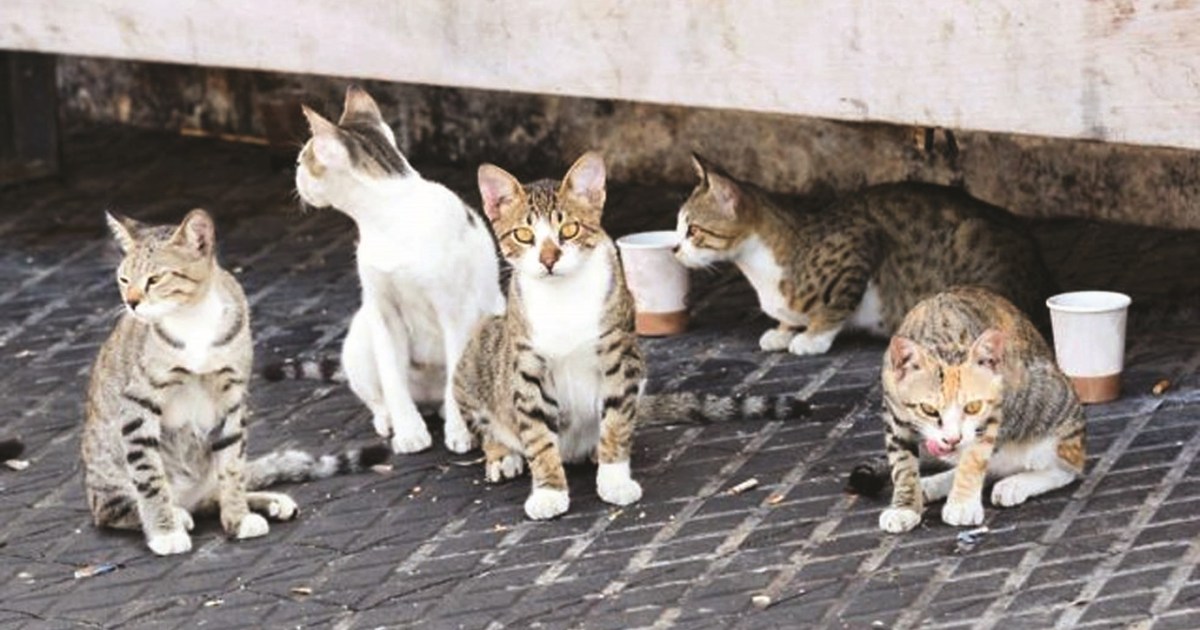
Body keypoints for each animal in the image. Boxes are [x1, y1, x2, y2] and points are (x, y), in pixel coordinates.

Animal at [82, 209, 387, 555]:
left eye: (155, 279)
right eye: (123, 280)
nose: (131, 302)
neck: (193, 321)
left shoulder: (231, 396)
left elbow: (231, 466)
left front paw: (238, 518)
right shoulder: (138, 403)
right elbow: (149, 477)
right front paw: (164, 531)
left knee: (214, 493)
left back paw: (266, 502)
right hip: (108, 475)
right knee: (116, 507)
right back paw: (176, 513)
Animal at [295, 85, 505, 454]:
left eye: (304, 159)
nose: (295, 172)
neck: (389, 216)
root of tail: (428, 397)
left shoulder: (455, 310)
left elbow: (456, 373)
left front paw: (458, 433)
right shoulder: (382, 310)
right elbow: (392, 378)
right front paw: (409, 432)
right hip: (360, 336)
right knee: (377, 395)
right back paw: (389, 418)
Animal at [674, 154, 1054, 356]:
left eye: (692, 230)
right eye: (677, 228)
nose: (675, 249)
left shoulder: (860, 243)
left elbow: (835, 305)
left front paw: (812, 338)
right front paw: (783, 330)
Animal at [872, 286, 1085, 533]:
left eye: (973, 407)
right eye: (929, 409)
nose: (952, 438)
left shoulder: (993, 410)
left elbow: (974, 457)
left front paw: (962, 504)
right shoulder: (893, 414)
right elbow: (902, 464)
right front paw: (904, 507)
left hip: (1048, 400)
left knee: (1067, 467)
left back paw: (1014, 484)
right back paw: (933, 484)